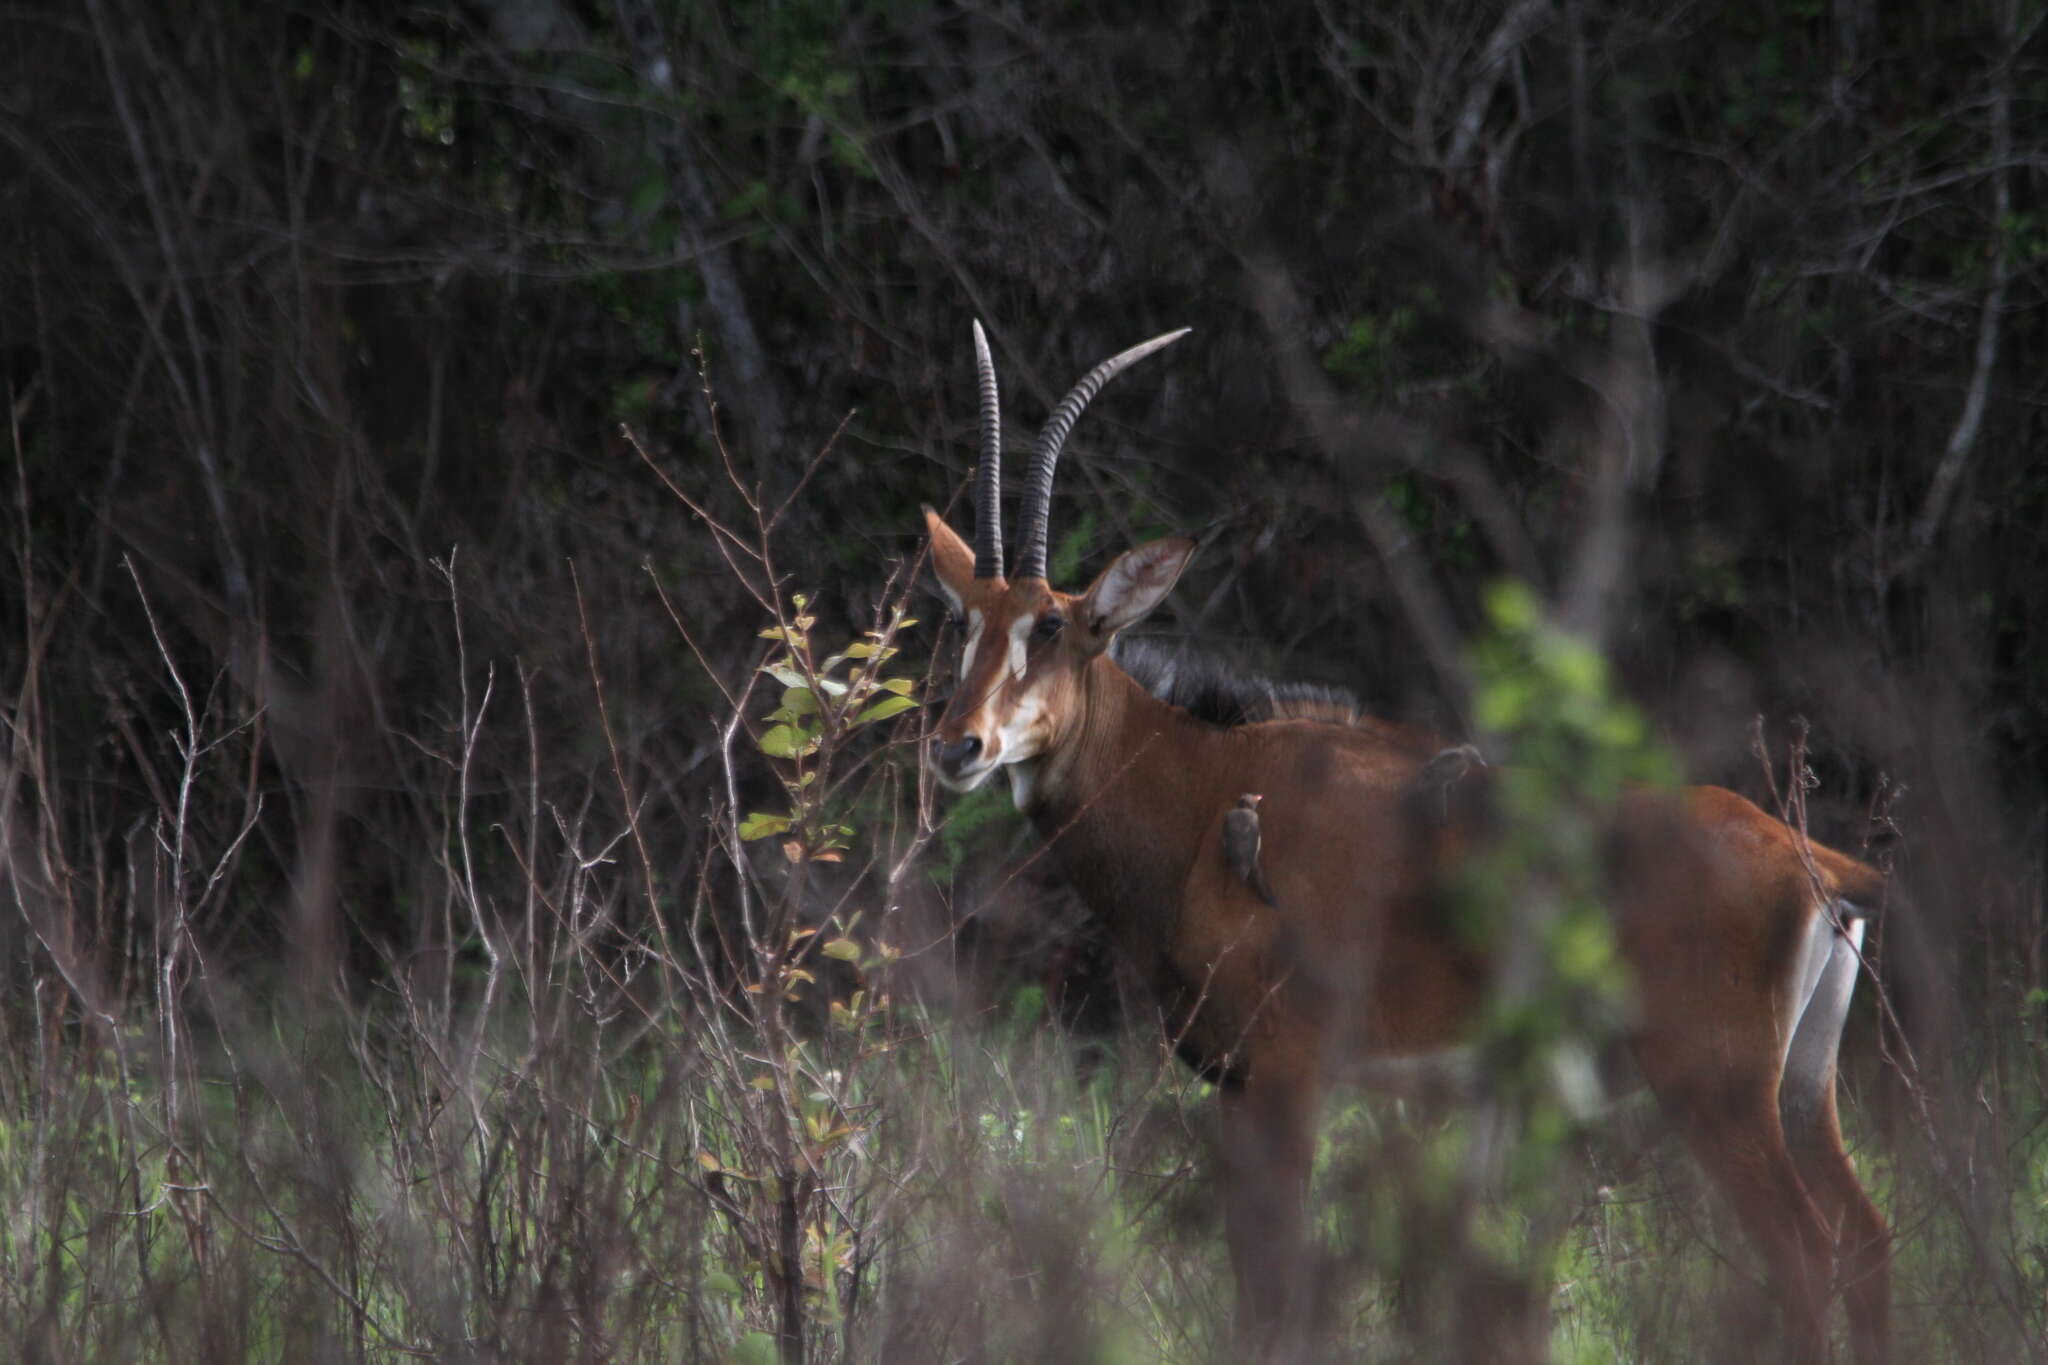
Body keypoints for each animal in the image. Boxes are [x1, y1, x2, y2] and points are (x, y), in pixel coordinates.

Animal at [921, 321, 1892, 1358]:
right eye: (964, 619)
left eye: (1051, 626)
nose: (957, 745)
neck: (1203, 790)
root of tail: (1819, 867)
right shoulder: (1240, 1082)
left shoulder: (1286, 1073)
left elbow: (1272, 1280)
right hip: (1803, 1087)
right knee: (1867, 1237)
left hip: (1716, 1089)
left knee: (1807, 1251)